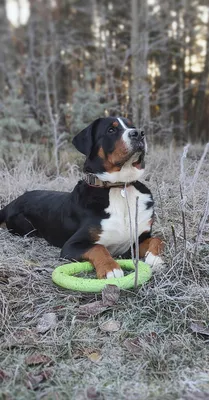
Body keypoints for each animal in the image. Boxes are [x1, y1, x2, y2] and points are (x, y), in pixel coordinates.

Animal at [0, 116, 163, 278]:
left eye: (132, 126)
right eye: (111, 130)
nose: (139, 133)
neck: (118, 188)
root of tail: (14, 201)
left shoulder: (137, 240)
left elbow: (157, 239)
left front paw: (155, 258)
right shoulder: (72, 245)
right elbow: (98, 248)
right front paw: (110, 268)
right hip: (26, 227)